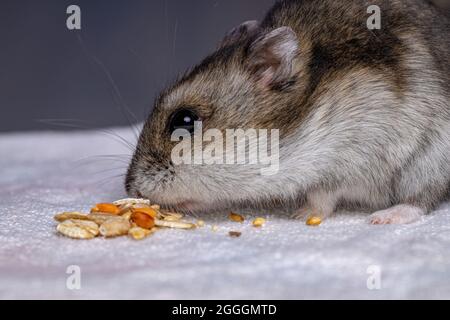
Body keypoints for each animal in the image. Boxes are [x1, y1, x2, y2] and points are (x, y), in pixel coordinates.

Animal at [126, 0, 450, 225]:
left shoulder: (353, 159)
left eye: (184, 120)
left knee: (422, 199)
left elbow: (322, 194)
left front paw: (301, 214)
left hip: (429, 160)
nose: (133, 190)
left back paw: (383, 217)